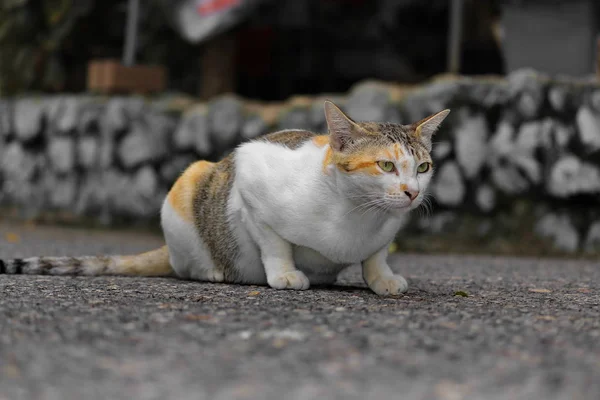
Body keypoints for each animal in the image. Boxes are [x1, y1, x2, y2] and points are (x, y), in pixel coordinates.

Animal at [0, 101, 448, 296]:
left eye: (423, 167)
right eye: (386, 166)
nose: (412, 193)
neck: (358, 216)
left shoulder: (384, 233)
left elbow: (376, 255)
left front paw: (381, 278)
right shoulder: (250, 177)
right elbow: (274, 243)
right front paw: (285, 274)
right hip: (189, 180)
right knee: (185, 264)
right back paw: (213, 271)